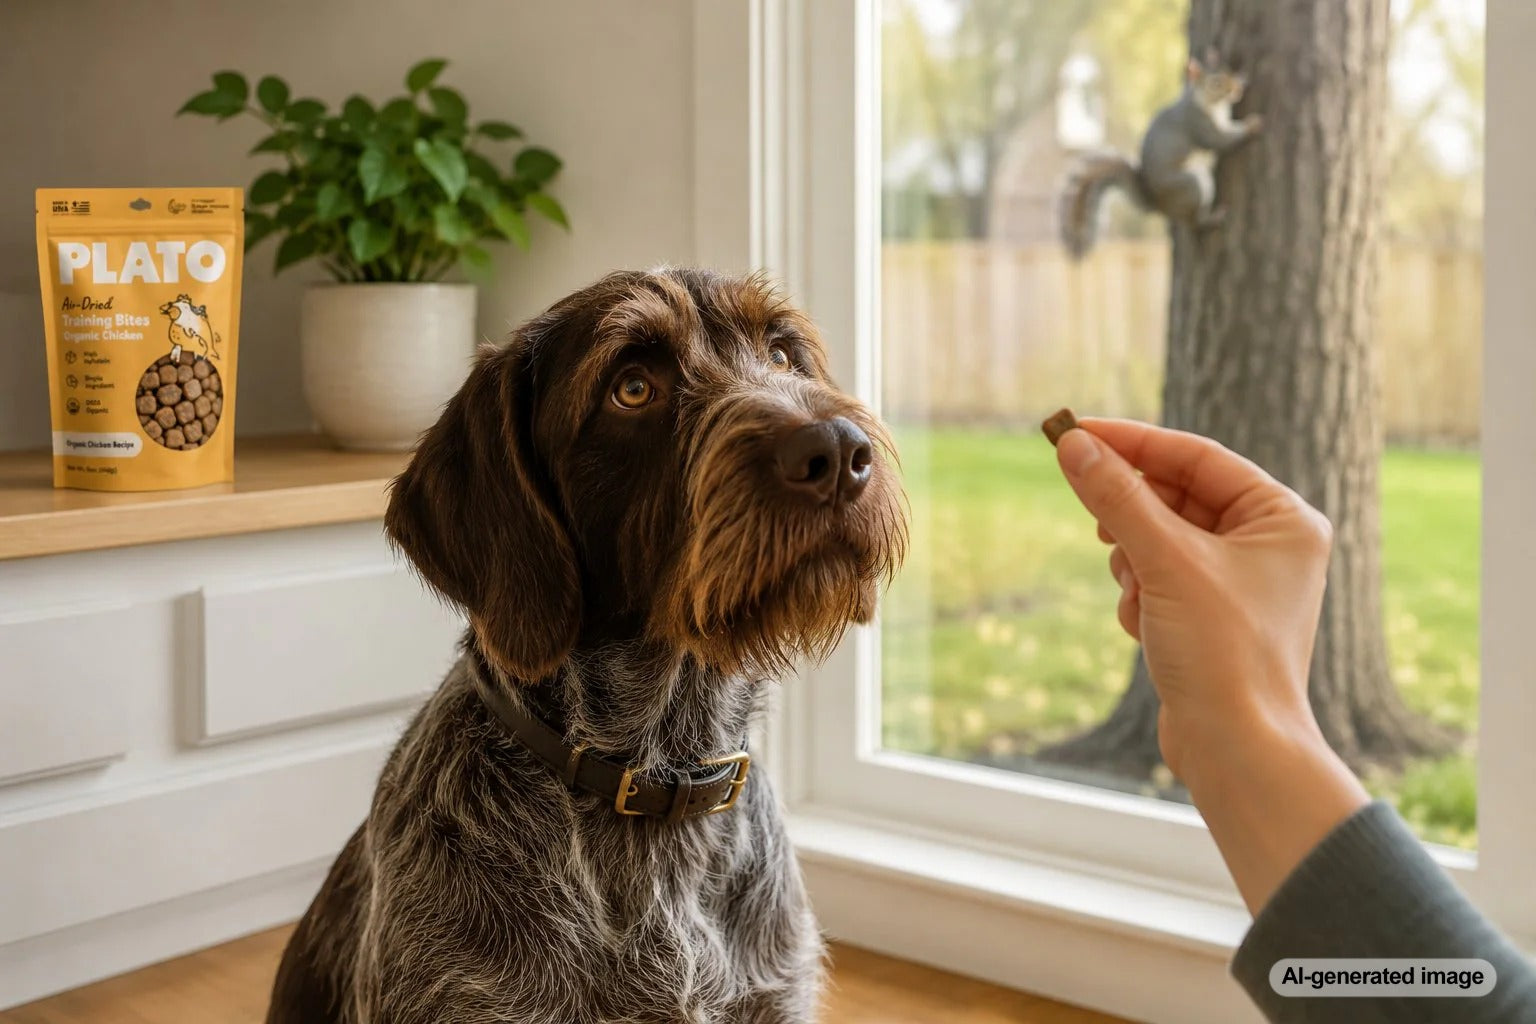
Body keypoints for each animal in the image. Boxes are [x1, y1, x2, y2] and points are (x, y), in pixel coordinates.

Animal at [1058, 50, 1262, 259]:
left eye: (1228, 70)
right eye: (1216, 82)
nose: (1237, 90)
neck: (1205, 101)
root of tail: (1157, 203)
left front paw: (1244, 77)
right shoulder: (1198, 125)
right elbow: (1221, 140)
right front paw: (1252, 126)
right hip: (1192, 185)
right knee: (1193, 222)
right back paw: (1212, 219)